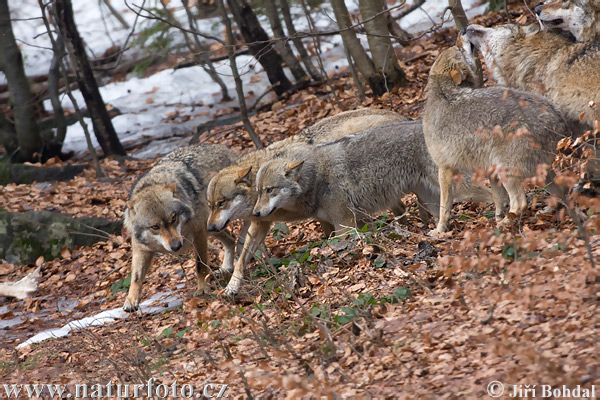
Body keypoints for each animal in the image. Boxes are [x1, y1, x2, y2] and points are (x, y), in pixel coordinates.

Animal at [123, 144, 238, 312]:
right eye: (155, 227)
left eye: (173, 218)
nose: (176, 246)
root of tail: (225, 148)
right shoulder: (141, 249)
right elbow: (136, 277)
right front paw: (131, 300)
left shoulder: (199, 235)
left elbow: (200, 265)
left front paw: (202, 288)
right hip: (213, 228)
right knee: (231, 239)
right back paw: (226, 268)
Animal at [422, 38, 568, 234]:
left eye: (459, 48)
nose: (462, 34)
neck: (442, 93)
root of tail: (555, 114)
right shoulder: (488, 170)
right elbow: (499, 200)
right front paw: (497, 216)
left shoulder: (445, 169)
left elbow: (444, 207)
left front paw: (439, 231)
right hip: (541, 171)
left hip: (508, 171)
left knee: (520, 203)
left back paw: (503, 225)